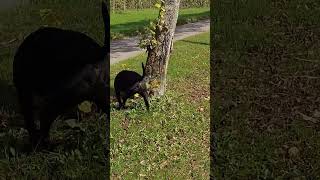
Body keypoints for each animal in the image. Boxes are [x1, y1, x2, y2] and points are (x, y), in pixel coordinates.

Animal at [13, 1, 110, 148]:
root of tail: (94, 52)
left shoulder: (25, 95)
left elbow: (31, 123)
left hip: (56, 102)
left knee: (43, 126)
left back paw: (42, 146)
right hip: (98, 96)